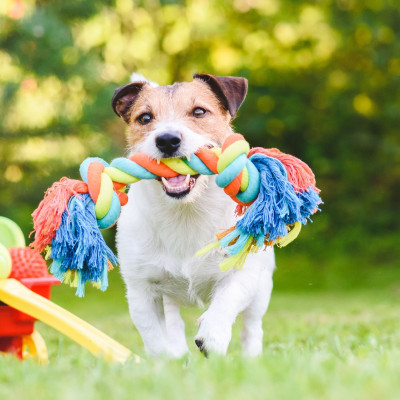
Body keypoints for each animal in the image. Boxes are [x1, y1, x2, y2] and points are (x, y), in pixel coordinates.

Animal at [112, 73, 276, 358]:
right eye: (145, 117)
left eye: (199, 111)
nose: (167, 140)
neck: (186, 212)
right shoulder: (141, 290)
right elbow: (155, 339)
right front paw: (166, 363)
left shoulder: (243, 273)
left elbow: (226, 299)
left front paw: (212, 336)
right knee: (174, 325)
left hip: (262, 288)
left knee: (252, 328)